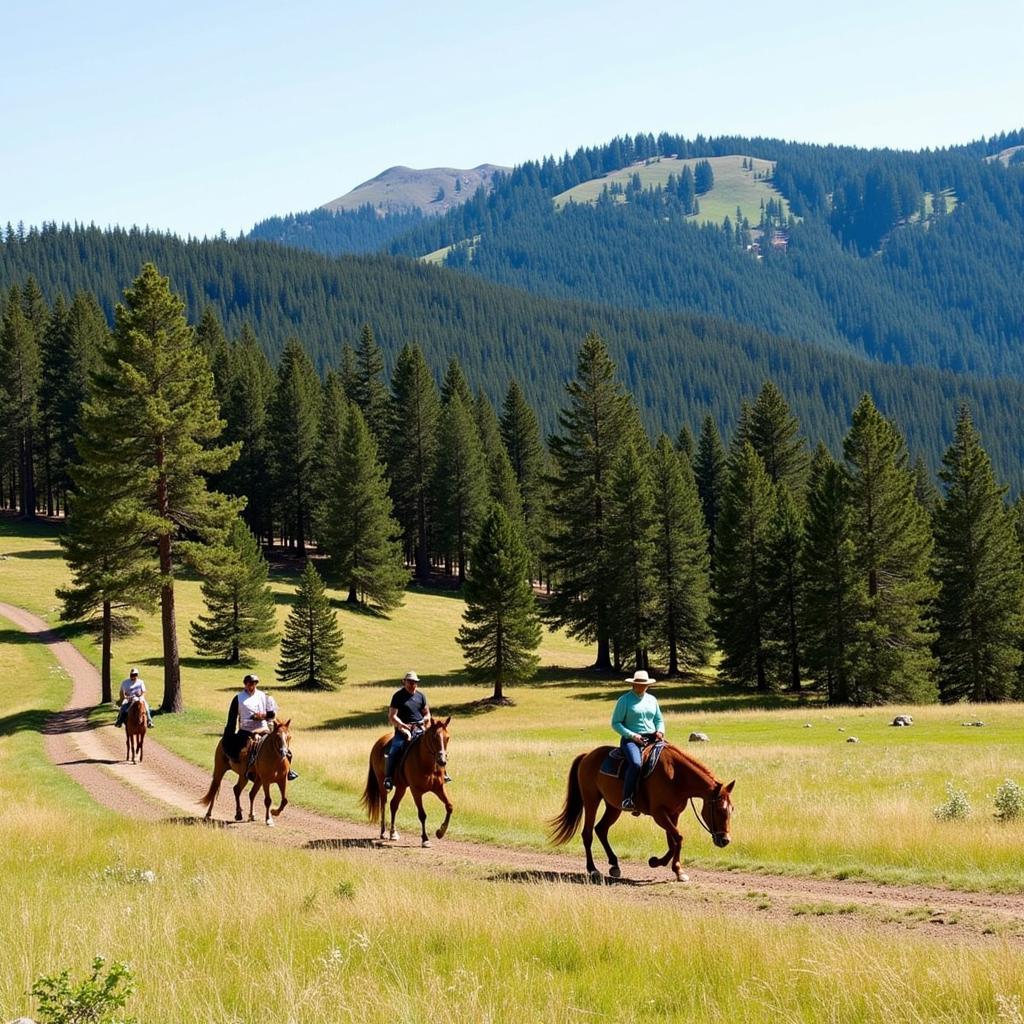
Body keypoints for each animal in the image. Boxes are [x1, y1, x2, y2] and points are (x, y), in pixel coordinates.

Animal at [364, 712, 452, 847]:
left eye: (447, 738)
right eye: (434, 737)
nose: (442, 761)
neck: (427, 764)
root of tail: (378, 742)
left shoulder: (439, 788)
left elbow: (449, 806)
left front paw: (440, 832)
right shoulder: (416, 791)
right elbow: (422, 815)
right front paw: (425, 839)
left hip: (401, 787)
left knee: (394, 804)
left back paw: (393, 833)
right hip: (382, 785)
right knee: (383, 804)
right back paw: (383, 832)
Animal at [548, 745, 733, 880]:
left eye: (732, 810)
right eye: (720, 809)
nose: (725, 840)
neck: (677, 776)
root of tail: (587, 755)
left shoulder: (673, 814)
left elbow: (673, 842)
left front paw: (659, 862)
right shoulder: (659, 814)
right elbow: (678, 838)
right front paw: (677, 870)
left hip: (613, 807)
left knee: (601, 829)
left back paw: (614, 864)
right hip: (591, 800)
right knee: (587, 833)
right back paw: (593, 869)